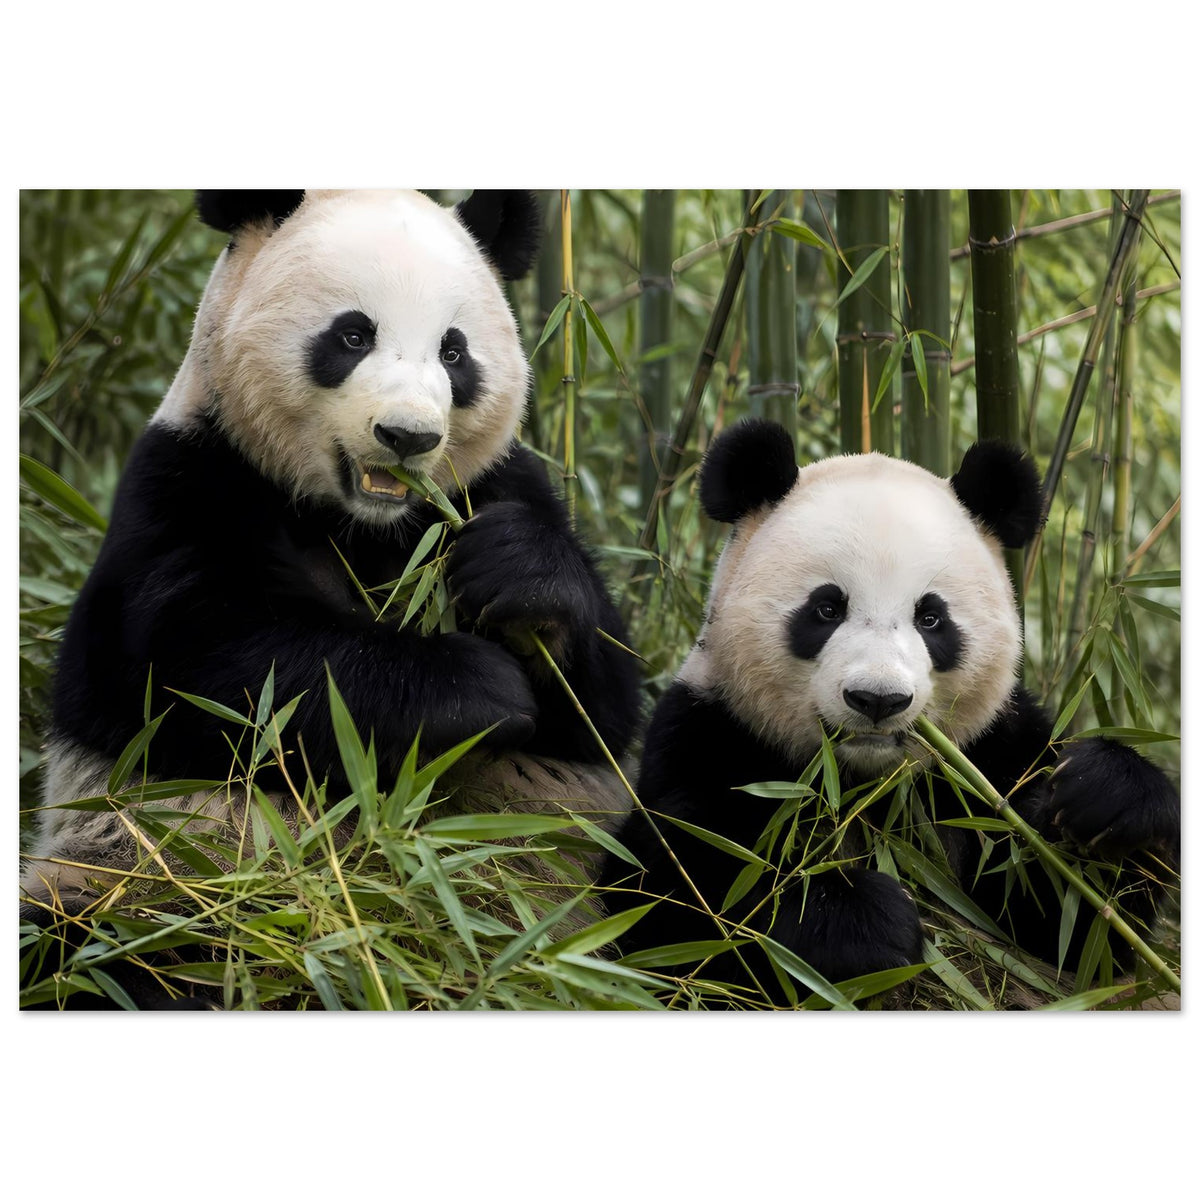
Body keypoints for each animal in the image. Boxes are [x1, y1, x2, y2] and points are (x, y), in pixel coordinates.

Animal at [21, 189, 641, 1007]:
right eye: (352, 335)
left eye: (454, 351)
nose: (407, 436)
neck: (363, 524)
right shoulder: (186, 487)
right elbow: (219, 672)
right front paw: (478, 687)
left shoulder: (493, 485)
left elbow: (603, 709)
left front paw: (519, 576)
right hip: (142, 881)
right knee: (95, 949)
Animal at [600, 418, 1179, 1005]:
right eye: (827, 608)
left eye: (931, 618)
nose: (878, 699)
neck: (864, 786)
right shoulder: (712, 733)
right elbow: (678, 895)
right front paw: (863, 923)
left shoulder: (990, 757)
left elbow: (1075, 930)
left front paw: (1105, 798)